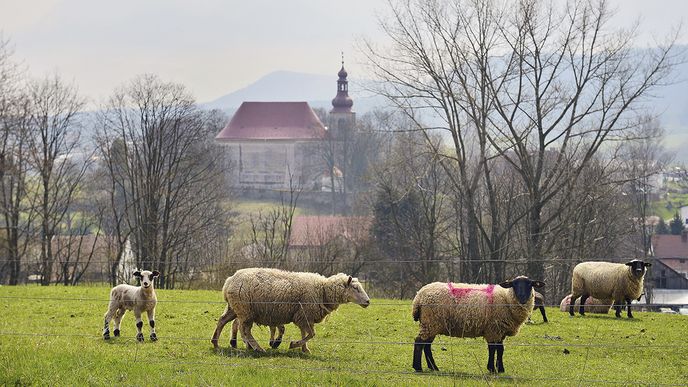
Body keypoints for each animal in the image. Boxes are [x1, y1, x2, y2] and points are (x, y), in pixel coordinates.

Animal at [211, 268, 368, 354]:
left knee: (223, 321)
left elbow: (305, 333)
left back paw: (216, 343)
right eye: (355, 288)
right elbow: (311, 334)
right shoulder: (304, 315)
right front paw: (294, 345)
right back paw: (257, 348)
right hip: (245, 310)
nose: (368, 302)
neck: (323, 291)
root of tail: (229, 281)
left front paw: (305, 349)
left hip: (234, 308)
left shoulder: (304, 316)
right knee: (245, 331)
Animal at [412, 274, 544, 374]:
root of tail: (419, 296)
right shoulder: (493, 329)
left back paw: (433, 367)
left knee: (427, 345)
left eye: (530, 285)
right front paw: (491, 369)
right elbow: (493, 349)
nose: (522, 297)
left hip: (431, 324)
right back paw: (418, 367)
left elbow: (500, 349)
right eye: (514, 284)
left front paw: (500, 369)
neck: (506, 299)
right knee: (419, 342)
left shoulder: (500, 331)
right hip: (430, 322)